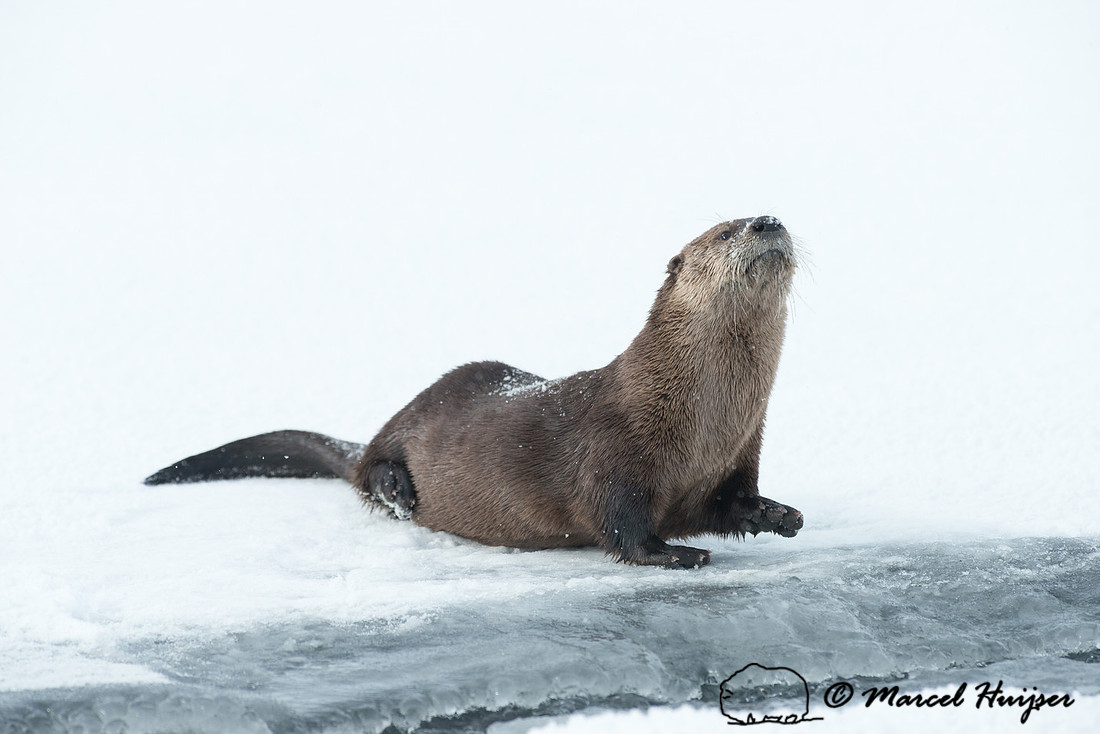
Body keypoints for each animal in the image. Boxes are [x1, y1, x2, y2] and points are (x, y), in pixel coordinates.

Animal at [146, 216, 804, 568]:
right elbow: (618, 524)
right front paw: (676, 554)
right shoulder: (614, 453)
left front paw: (779, 513)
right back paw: (397, 488)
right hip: (417, 411)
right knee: (368, 468)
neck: (700, 416)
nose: (767, 220)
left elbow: (729, 506)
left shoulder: (736, 459)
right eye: (726, 231)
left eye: (763, 217)